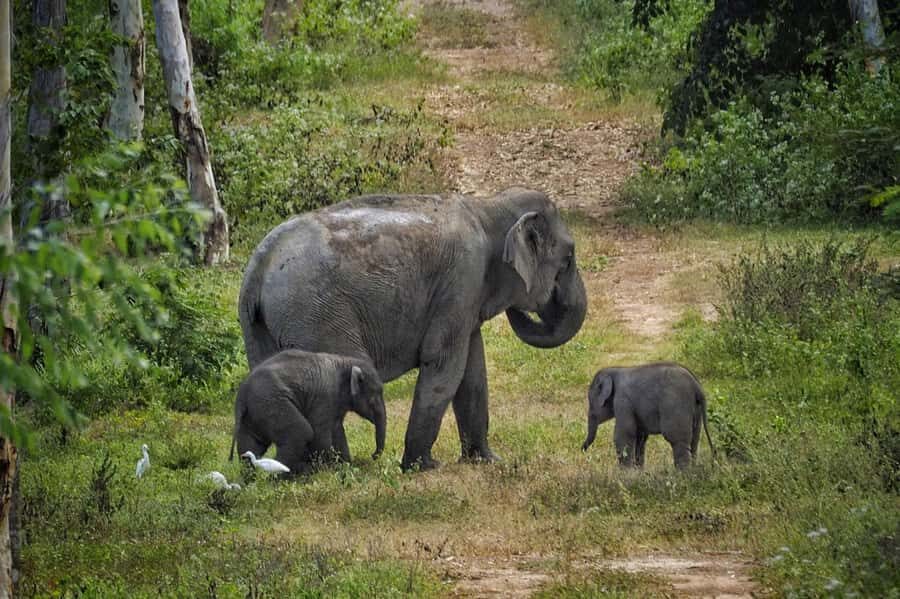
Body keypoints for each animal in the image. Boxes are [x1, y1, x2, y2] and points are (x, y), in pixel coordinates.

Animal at [229, 349, 386, 474]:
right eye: (373, 400)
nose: (372, 455)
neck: (347, 362)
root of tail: (241, 394)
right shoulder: (324, 398)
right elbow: (320, 435)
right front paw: (331, 470)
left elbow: (337, 431)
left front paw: (347, 466)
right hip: (270, 403)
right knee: (300, 433)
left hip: (254, 413)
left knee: (251, 445)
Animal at [581, 362, 715, 469]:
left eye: (591, 402)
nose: (583, 450)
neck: (614, 370)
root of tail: (697, 386)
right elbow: (640, 437)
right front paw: (637, 472)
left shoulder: (623, 401)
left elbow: (624, 434)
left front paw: (624, 474)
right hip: (696, 410)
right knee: (694, 441)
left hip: (676, 405)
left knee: (677, 440)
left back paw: (683, 476)